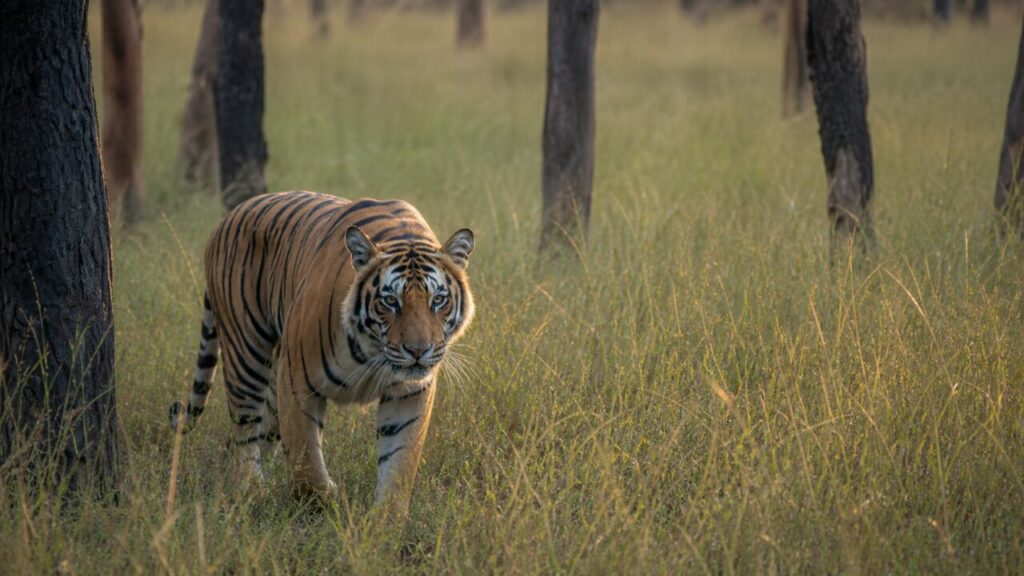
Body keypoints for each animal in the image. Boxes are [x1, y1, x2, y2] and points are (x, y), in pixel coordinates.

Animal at [168, 191, 475, 513]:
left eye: (438, 300)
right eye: (390, 301)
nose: (418, 350)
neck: (372, 351)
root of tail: (226, 218)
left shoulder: (408, 393)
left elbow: (400, 460)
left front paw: (385, 519)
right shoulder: (297, 381)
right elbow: (306, 460)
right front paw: (327, 499)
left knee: (259, 433)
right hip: (246, 352)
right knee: (244, 431)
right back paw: (253, 490)